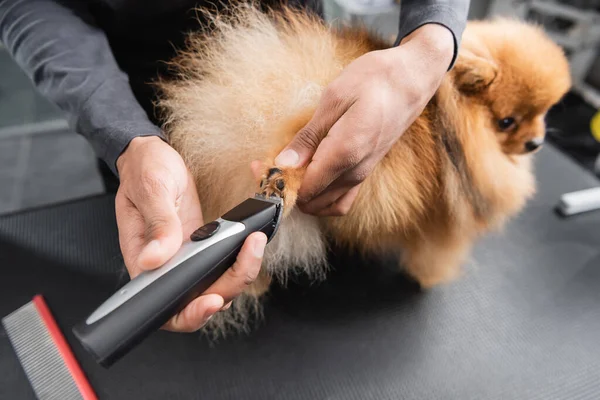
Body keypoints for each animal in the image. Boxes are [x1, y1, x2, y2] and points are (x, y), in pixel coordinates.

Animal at [152, 3, 568, 336]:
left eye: (543, 114)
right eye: (508, 122)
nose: (536, 143)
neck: (449, 123)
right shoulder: (445, 227)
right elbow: (436, 253)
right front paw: (429, 277)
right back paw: (284, 182)